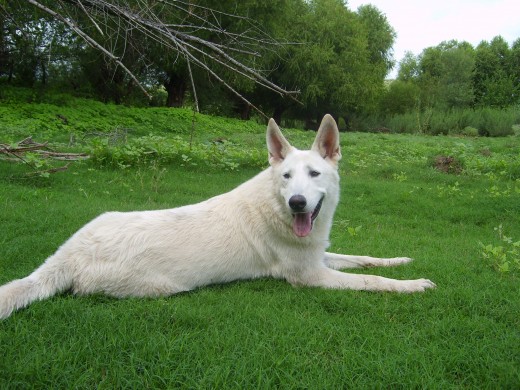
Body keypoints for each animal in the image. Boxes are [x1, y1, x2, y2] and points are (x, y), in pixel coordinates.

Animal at [0, 114, 434, 318]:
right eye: (286, 177)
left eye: (314, 174)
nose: (297, 203)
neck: (275, 208)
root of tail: (67, 255)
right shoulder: (310, 276)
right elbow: (372, 281)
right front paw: (414, 285)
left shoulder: (319, 256)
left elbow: (366, 259)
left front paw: (401, 260)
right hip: (161, 287)